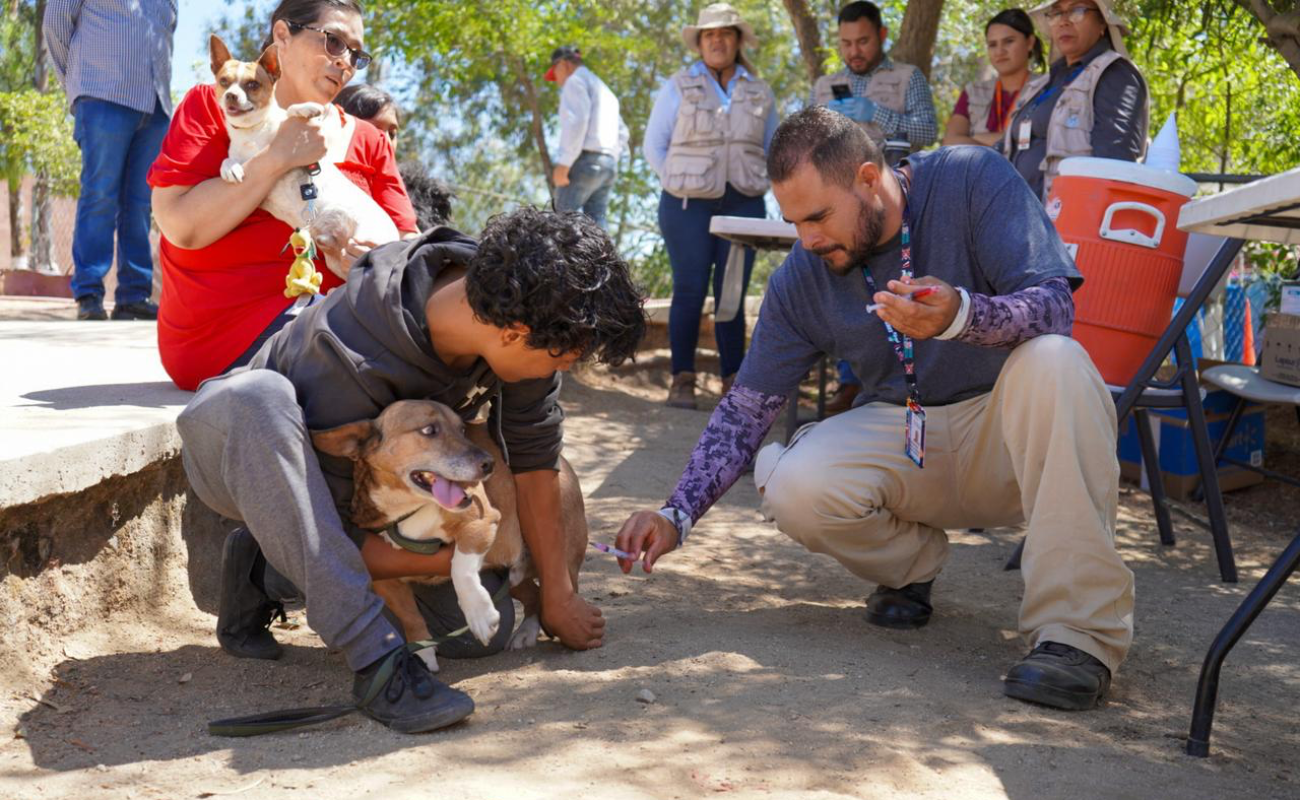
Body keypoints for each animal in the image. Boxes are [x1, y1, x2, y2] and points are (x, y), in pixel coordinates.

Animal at [312, 398, 587, 671]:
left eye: (463, 430)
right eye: (429, 430)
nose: (489, 464)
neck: (410, 509)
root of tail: (562, 461)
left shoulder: (482, 521)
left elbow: (460, 567)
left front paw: (479, 614)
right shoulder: (382, 577)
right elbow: (410, 616)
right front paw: (422, 653)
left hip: (560, 555)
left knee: (559, 590)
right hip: (512, 577)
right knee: (533, 593)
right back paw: (526, 631)